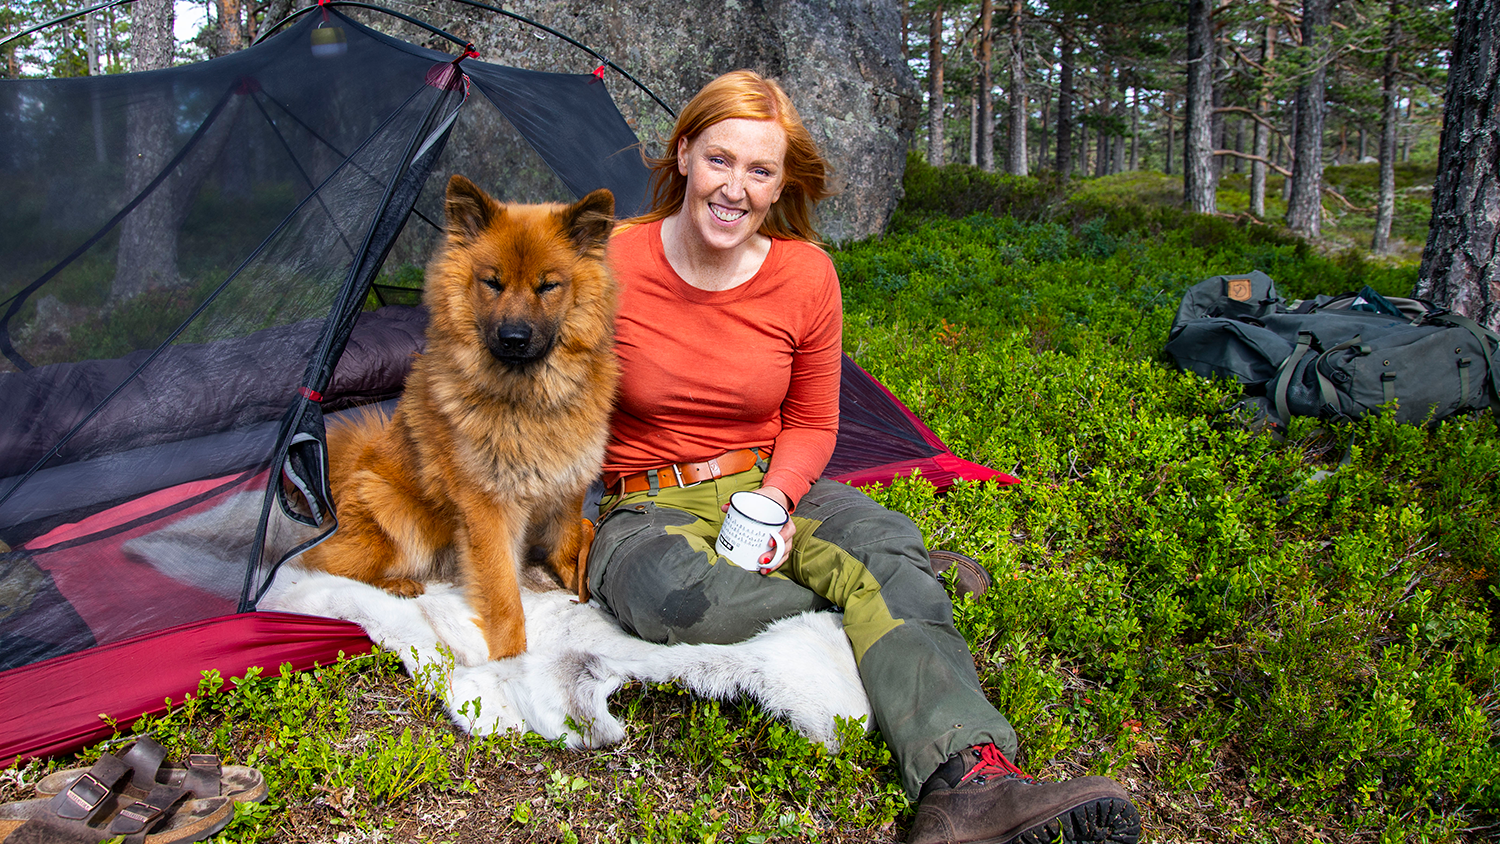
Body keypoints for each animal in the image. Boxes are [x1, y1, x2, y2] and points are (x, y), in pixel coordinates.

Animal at [301, 176, 618, 668]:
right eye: (492, 282)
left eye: (548, 286)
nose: (513, 338)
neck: (527, 401)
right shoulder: (487, 507)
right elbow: (504, 595)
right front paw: (511, 661)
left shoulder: (566, 482)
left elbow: (570, 547)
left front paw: (579, 585)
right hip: (393, 512)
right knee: (322, 566)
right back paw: (397, 583)